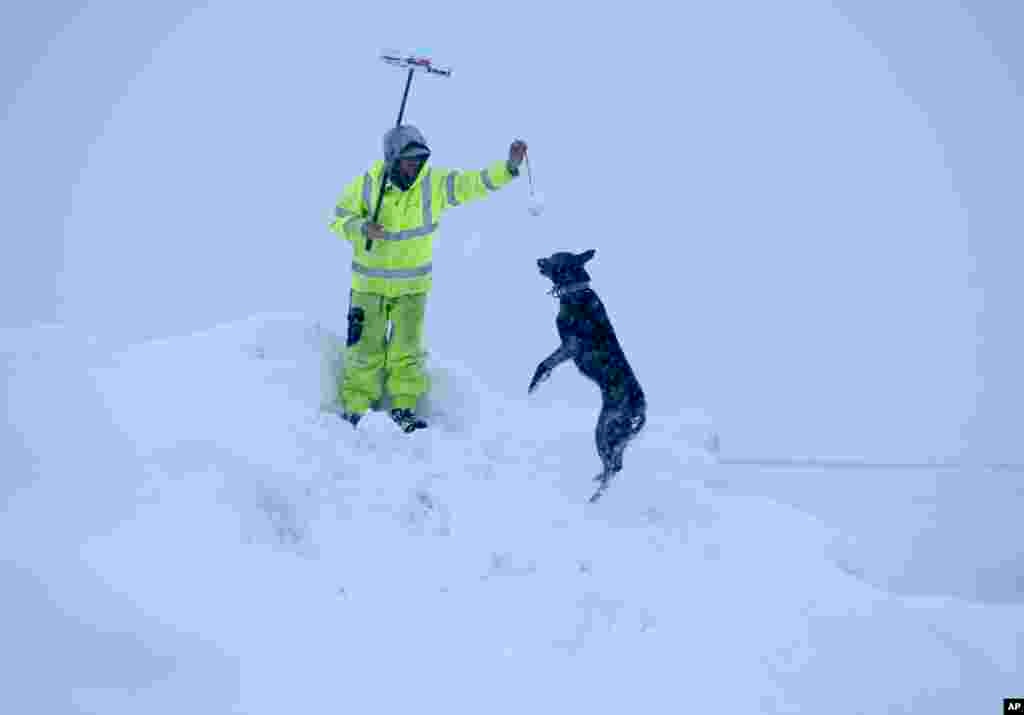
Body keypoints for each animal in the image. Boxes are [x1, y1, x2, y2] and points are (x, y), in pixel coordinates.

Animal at [532, 250, 643, 501]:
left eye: (554, 258)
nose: (538, 260)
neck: (576, 291)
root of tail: (641, 411)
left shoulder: (570, 346)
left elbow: (543, 363)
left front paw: (535, 384)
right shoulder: (565, 348)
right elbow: (546, 364)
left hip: (604, 430)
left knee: (612, 467)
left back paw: (596, 497)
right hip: (618, 439)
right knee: (616, 464)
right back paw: (598, 481)